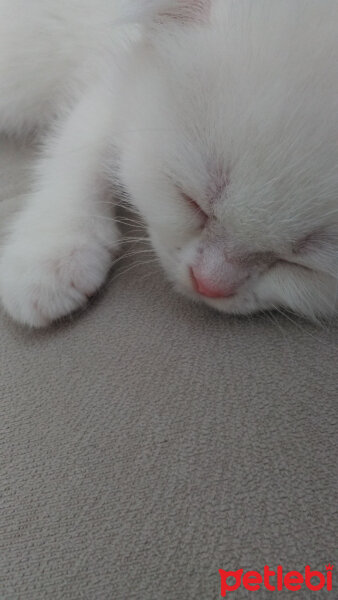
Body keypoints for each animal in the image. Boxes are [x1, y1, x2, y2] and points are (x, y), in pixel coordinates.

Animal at [0, 0, 338, 326]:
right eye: (191, 202)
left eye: (300, 262)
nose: (208, 284)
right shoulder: (118, 72)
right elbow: (83, 143)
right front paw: (48, 257)